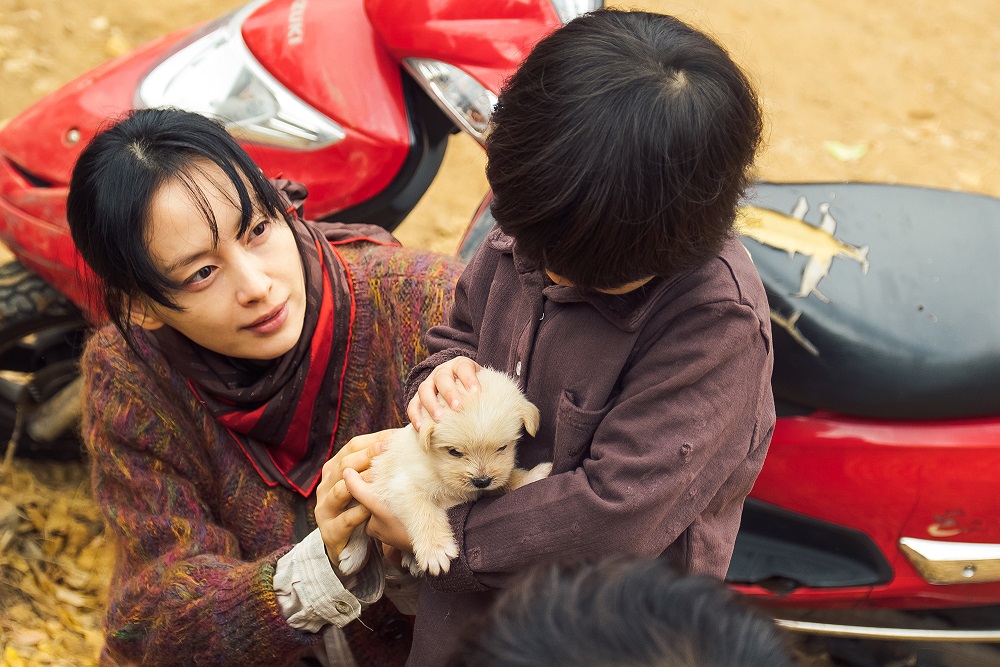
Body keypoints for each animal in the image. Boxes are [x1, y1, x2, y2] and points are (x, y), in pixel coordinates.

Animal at [340, 368, 552, 576]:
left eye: (502, 447)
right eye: (454, 452)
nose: (481, 481)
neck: (438, 467)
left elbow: (507, 478)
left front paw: (531, 476)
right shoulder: (404, 486)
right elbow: (424, 512)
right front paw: (436, 550)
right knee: (359, 530)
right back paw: (353, 555)